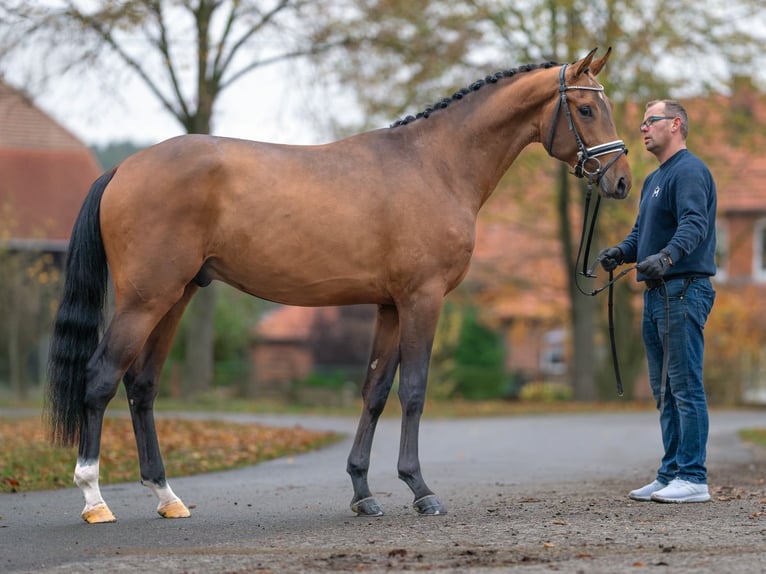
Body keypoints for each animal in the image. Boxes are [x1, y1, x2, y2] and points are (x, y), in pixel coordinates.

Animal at [49, 49, 632, 528]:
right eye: (585, 109)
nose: (622, 180)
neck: (435, 164)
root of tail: (124, 168)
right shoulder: (422, 299)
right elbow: (413, 390)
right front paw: (421, 491)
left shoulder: (389, 305)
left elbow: (374, 392)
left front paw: (362, 493)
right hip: (145, 300)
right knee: (101, 377)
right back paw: (94, 499)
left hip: (175, 298)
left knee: (142, 385)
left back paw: (166, 496)